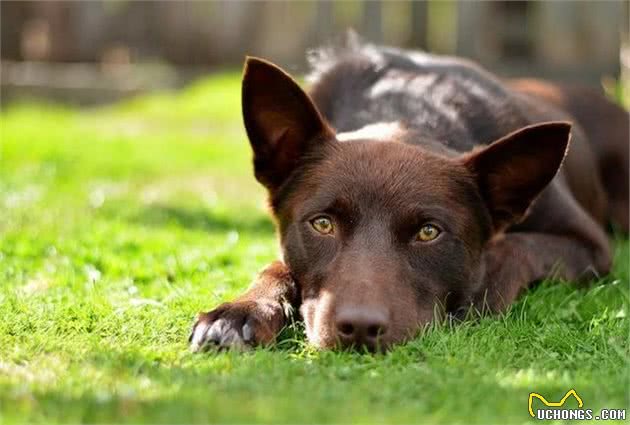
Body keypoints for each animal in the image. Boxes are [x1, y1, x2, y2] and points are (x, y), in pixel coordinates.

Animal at [190, 39, 628, 352]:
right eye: (322, 224)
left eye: (428, 233)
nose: (359, 328)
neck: (409, 112)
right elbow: (276, 266)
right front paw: (239, 311)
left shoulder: (590, 246)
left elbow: (517, 247)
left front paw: (482, 285)